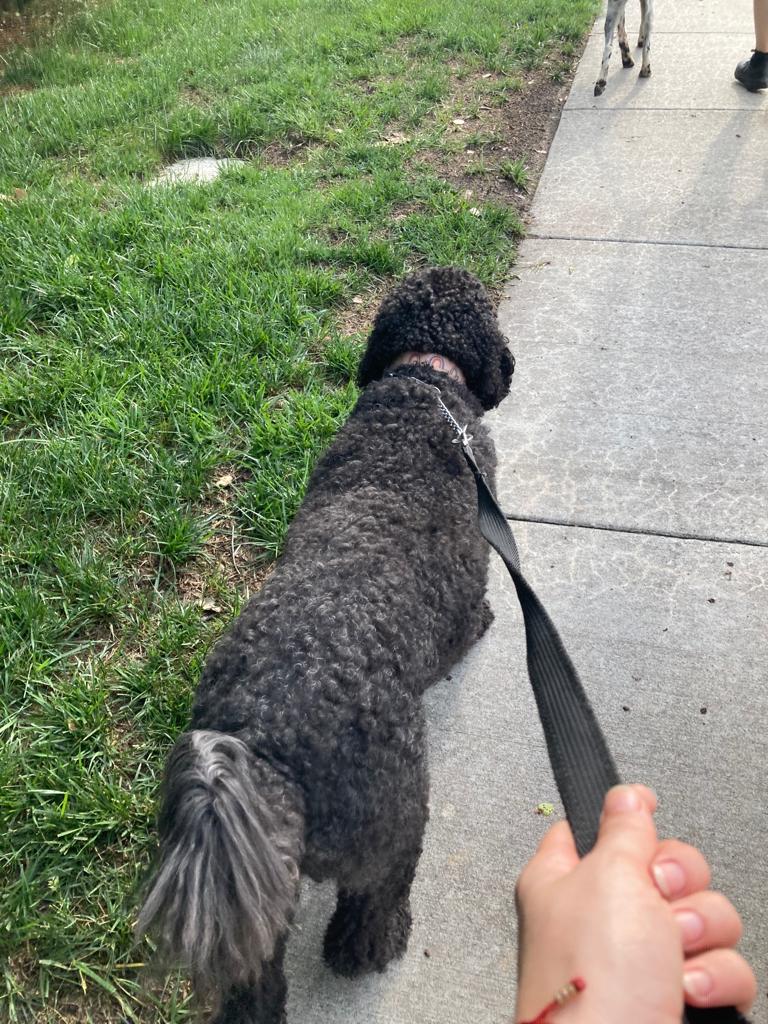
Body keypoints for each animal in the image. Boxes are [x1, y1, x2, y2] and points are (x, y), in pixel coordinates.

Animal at [138, 268, 518, 1019]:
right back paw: (372, 946)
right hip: (393, 821)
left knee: (258, 975)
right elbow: (471, 619)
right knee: (377, 895)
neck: (423, 381)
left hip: (264, 888)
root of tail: (266, 745)